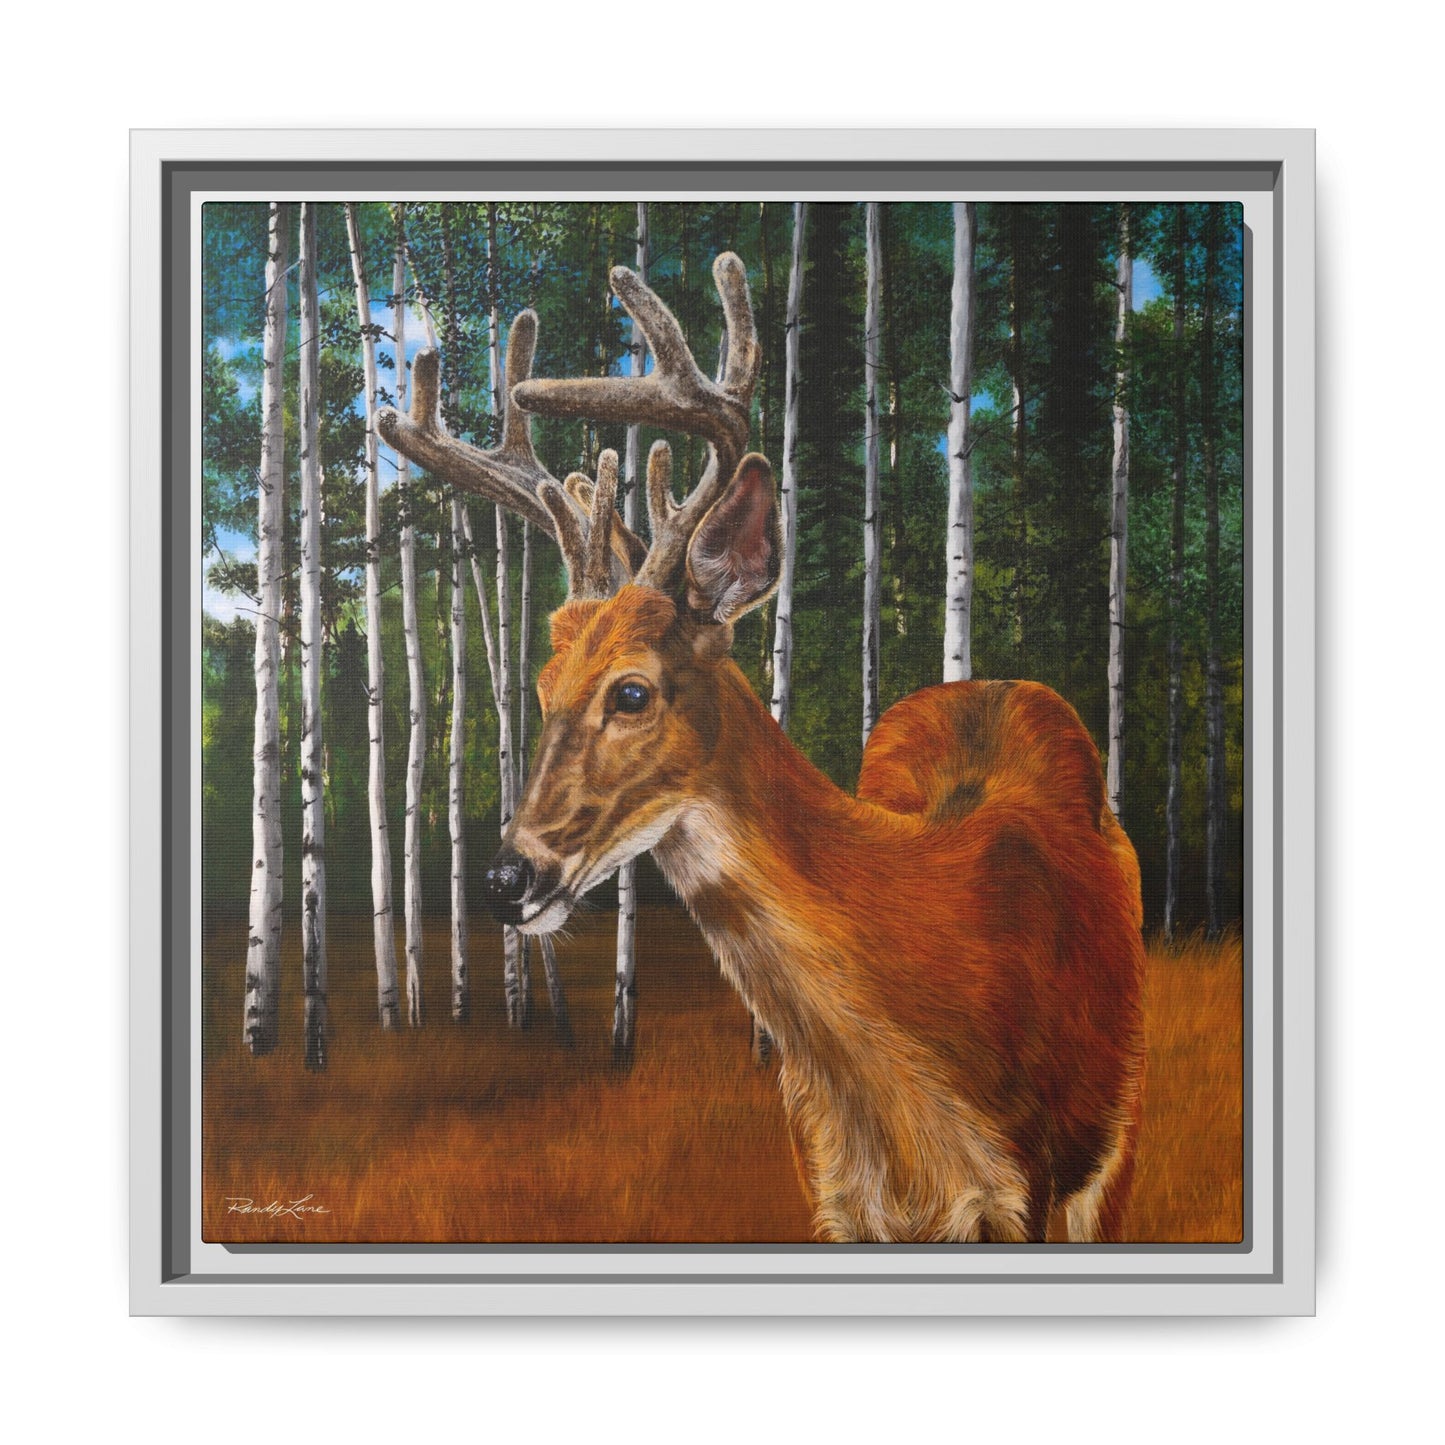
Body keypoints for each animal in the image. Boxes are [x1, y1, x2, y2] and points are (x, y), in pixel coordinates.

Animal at [377, 251, 1146, 1244]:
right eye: (542, 689)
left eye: (631, 691)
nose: (507, 878)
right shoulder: (827, 1188)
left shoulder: (1029, 1190)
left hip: (1114, 1142)